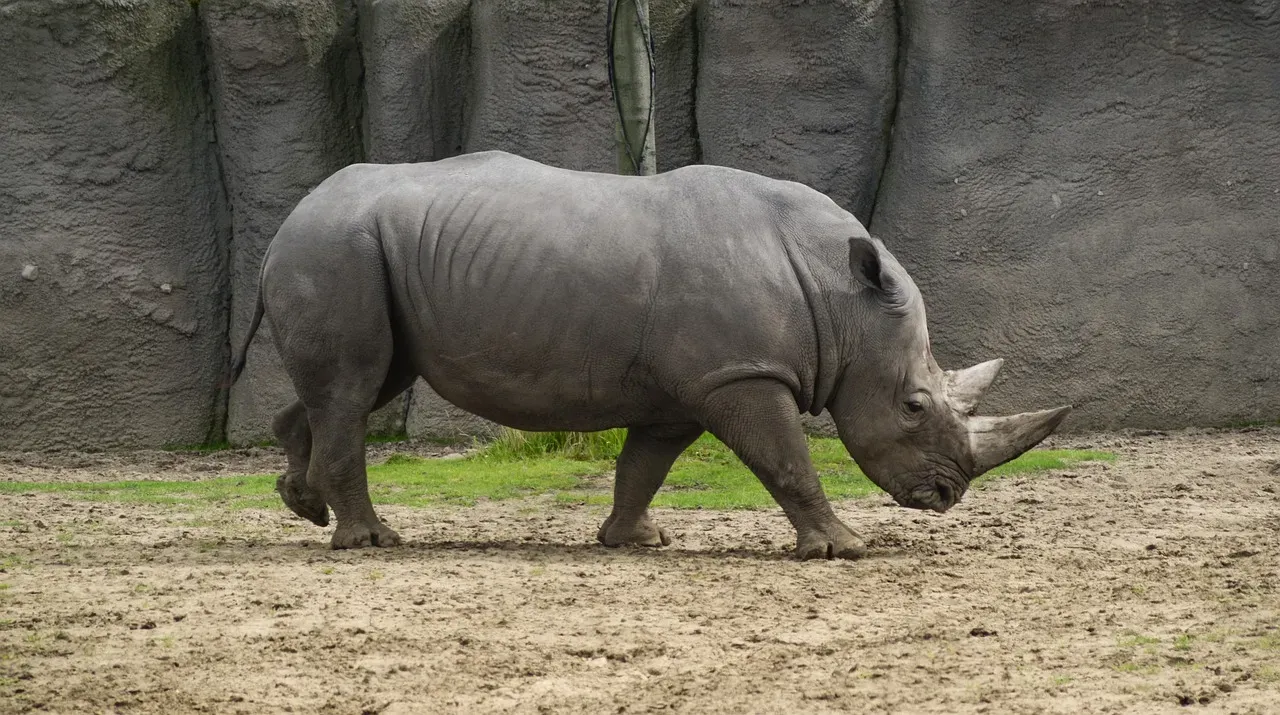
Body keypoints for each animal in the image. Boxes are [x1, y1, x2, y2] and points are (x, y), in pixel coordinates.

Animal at [229, 150, 1070, 560]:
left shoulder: (691, 384)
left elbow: (645, 465)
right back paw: (371, 542)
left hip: (358, 252)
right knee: (354, 387)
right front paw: (843, 549)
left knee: (363, 384)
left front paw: (633, 541)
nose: (946, 495)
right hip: (335, 249)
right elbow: (788, 460)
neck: (842, 299)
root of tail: (285, 222)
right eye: (914, 405)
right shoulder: (738, 374)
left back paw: (303, 503)